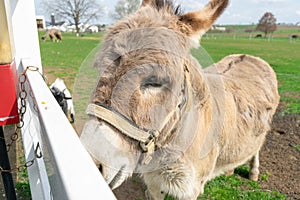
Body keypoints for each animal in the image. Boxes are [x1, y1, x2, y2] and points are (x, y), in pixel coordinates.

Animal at [79, 0, 278, 199]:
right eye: (98, 68)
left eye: (155, 82)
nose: (90, 166)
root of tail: (248, 56)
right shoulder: (153, 184)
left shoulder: (190, 189)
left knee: (257, 147)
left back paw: (253, 173)